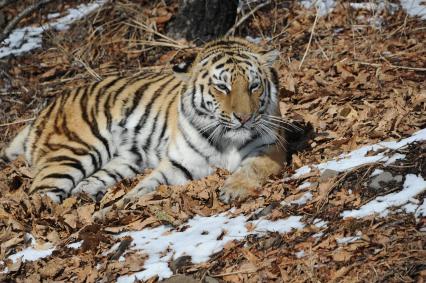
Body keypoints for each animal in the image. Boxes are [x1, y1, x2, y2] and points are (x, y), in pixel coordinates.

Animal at [0, 36, 286, 216]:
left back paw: (87, 195)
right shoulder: (179, 164)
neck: (228, 140)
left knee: (84, 183)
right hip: (72, 153)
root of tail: (43, 110)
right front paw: (112, 210)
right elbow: (145, 187)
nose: (244, 118)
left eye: (254, 85)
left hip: (122, 160)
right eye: (222, 87)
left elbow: (253, 168)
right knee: (37, 198)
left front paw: (232, 190)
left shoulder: (272, 146)